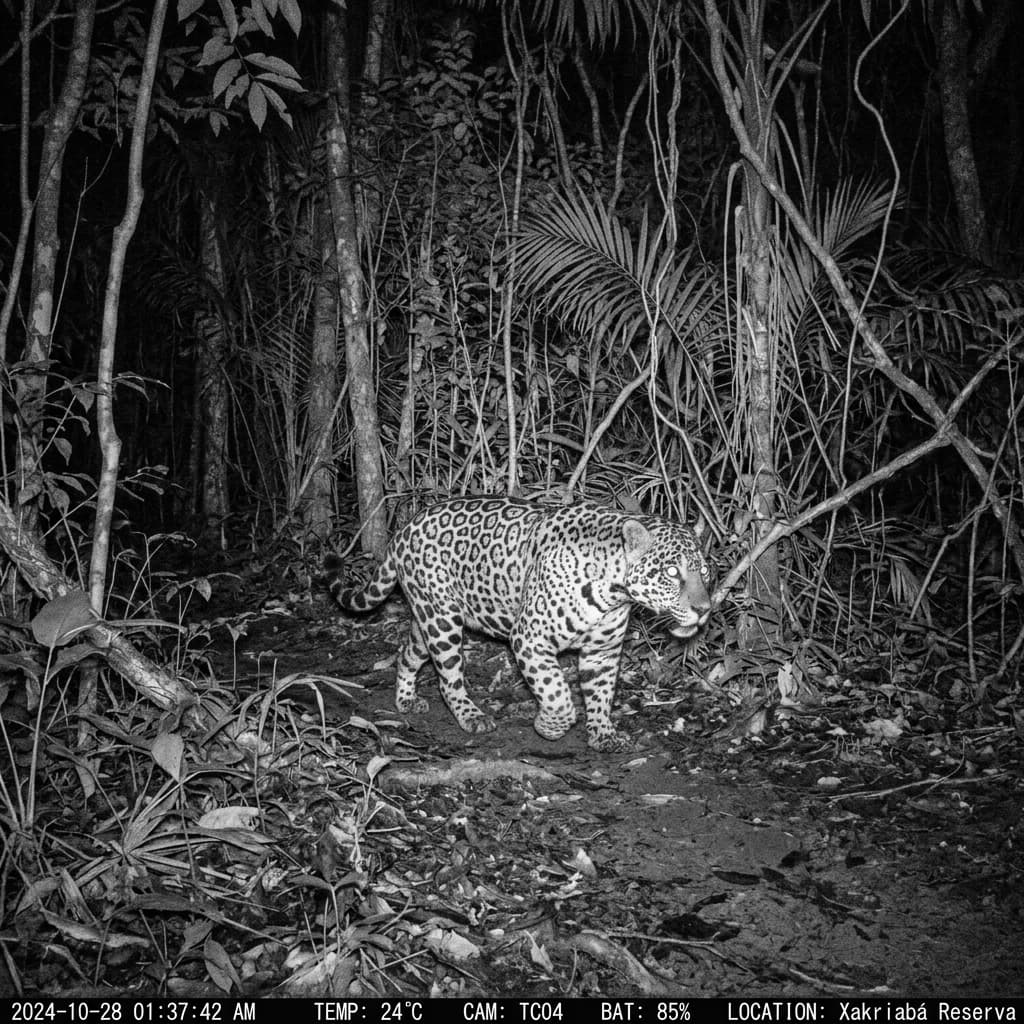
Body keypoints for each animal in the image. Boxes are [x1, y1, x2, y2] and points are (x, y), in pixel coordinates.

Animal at [325, 496, 712, 752]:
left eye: (706, 572)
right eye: (671, 572)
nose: (705, 609)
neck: (614, 591)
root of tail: (406, 526)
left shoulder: (602, 652)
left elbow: (601, 694)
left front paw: (603, 734)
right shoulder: (530, 639)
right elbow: (558, 695)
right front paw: (548, 726)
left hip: (429, 617)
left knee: (409, 651)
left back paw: (406, 699)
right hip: (442, 621)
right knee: (448, 677)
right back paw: (471, 716)